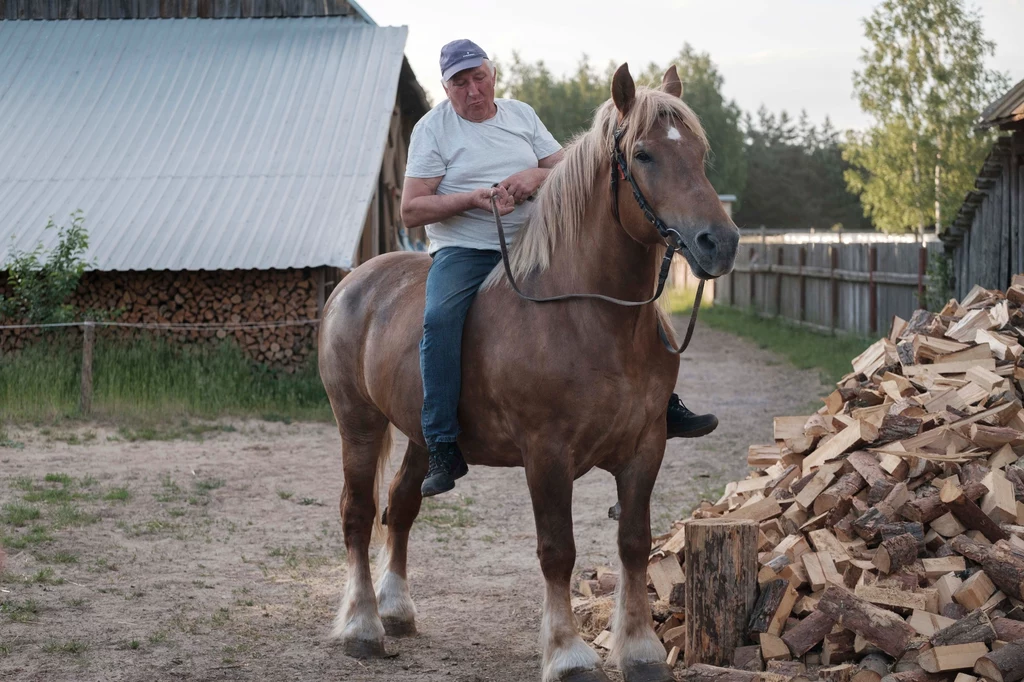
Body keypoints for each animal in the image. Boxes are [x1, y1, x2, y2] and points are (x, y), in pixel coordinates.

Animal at [319, 65, 737, 679]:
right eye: (643, 154)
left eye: (701, 153)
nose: (719, 242)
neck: (587, 316)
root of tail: (354, 283)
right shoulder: (547, 454)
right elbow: (557, 550)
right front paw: (567, 654)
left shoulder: (646, 447)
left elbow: (635, 542)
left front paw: (639, 649)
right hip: (359, 423)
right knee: (358, 513)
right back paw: (363, 627)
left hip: (420, 434)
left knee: (402, 506)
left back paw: (395, 609)